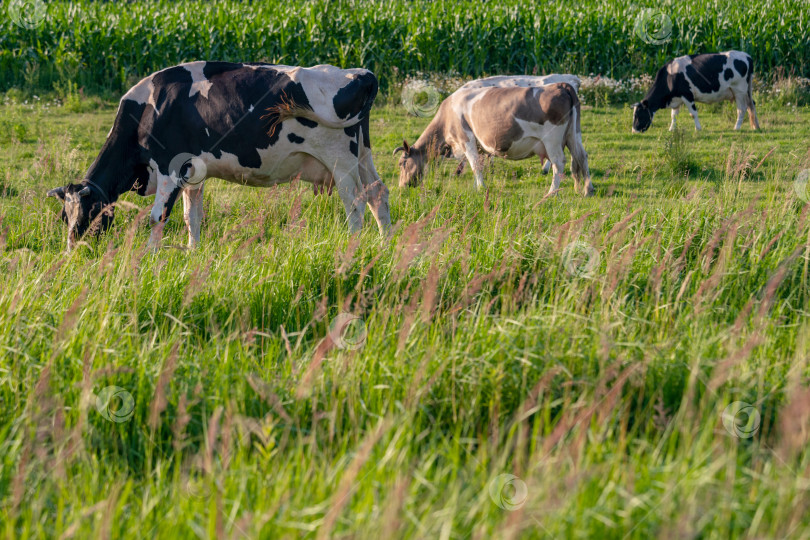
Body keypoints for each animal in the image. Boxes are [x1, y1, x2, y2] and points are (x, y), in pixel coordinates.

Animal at [45, 61, 390, 251]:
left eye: (87, 213)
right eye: (64, 216)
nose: (73, 251)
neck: (147, 109)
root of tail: (359, 73)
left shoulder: (170, 167)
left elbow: (159, 216)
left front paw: (150, 257)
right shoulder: (192, 174)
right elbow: (192, 217)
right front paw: (192, 251)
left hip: (341, 161)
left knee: (355, 205)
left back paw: (353, 248)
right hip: (363, 155)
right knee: (378, 194)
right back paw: (385, 244)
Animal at [394, 82, 592, 196]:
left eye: (402, 164)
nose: (401, 187)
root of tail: (561, 85)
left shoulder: (466, 139)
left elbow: (474, 164)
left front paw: (481, 188)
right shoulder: (479, 146)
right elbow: (479, 163)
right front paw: (477, 186)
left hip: (552, 139)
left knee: (559, 163)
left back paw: (552, 193)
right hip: (573, 135)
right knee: (581, 157)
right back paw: (585, 189)